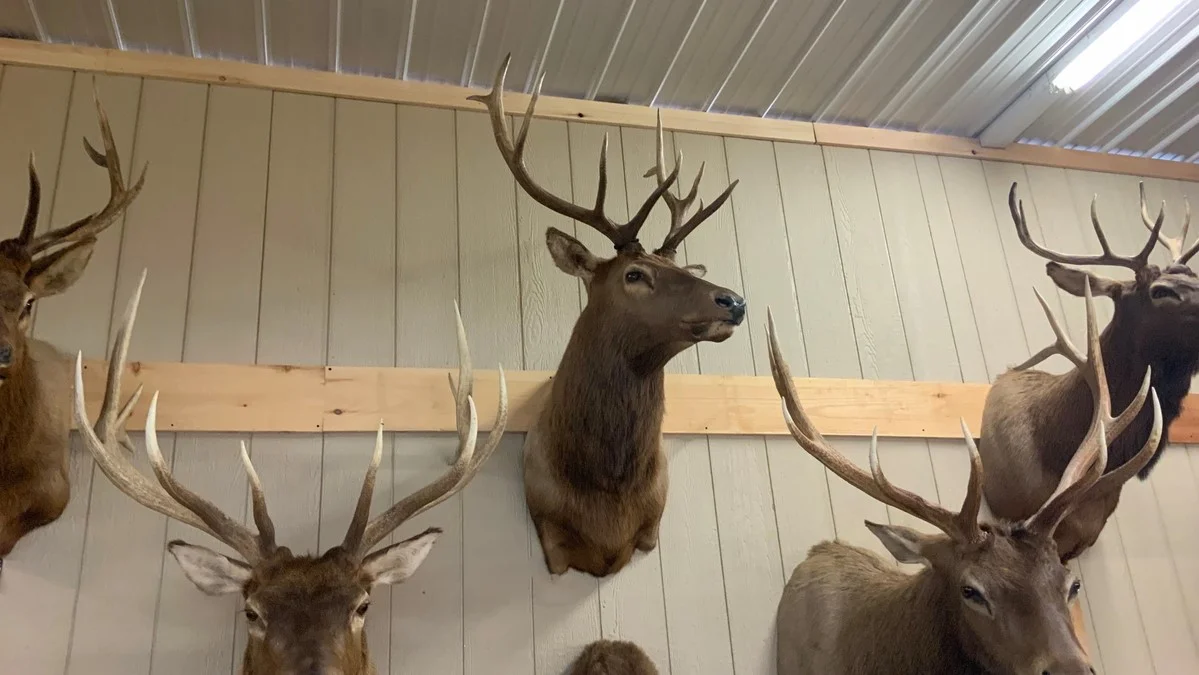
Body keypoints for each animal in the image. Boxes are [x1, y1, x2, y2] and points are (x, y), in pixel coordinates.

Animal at [469, 55, 746, 578]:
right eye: (634, 274)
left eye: (684, 269)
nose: (735, 301)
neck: (609, 492)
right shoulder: (549, 533)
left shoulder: (652, 525)